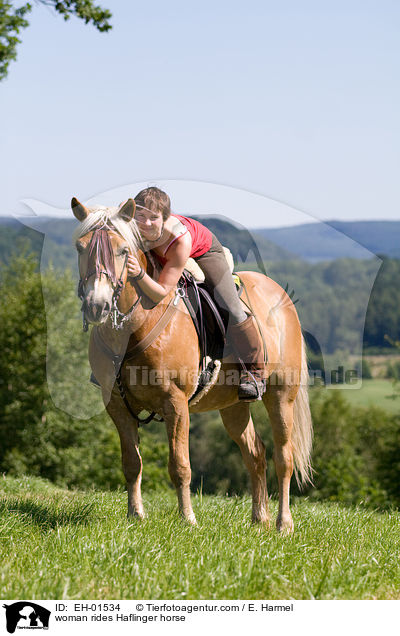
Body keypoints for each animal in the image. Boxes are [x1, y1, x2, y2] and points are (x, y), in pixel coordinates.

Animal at [73, 198, 314, 532]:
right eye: (80, 247)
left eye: (122, 251)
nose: (97, 305)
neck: (137, 324)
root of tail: (281, 296)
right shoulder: (117, 405)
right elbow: (132, 463)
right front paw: (135, 515)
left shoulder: (175, 403)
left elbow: (180, 465)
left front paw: (187, 518)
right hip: (233, 406)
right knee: (255, 454)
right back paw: (259, 519)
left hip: (281, 396)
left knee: (284, 458)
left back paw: (283, 523)